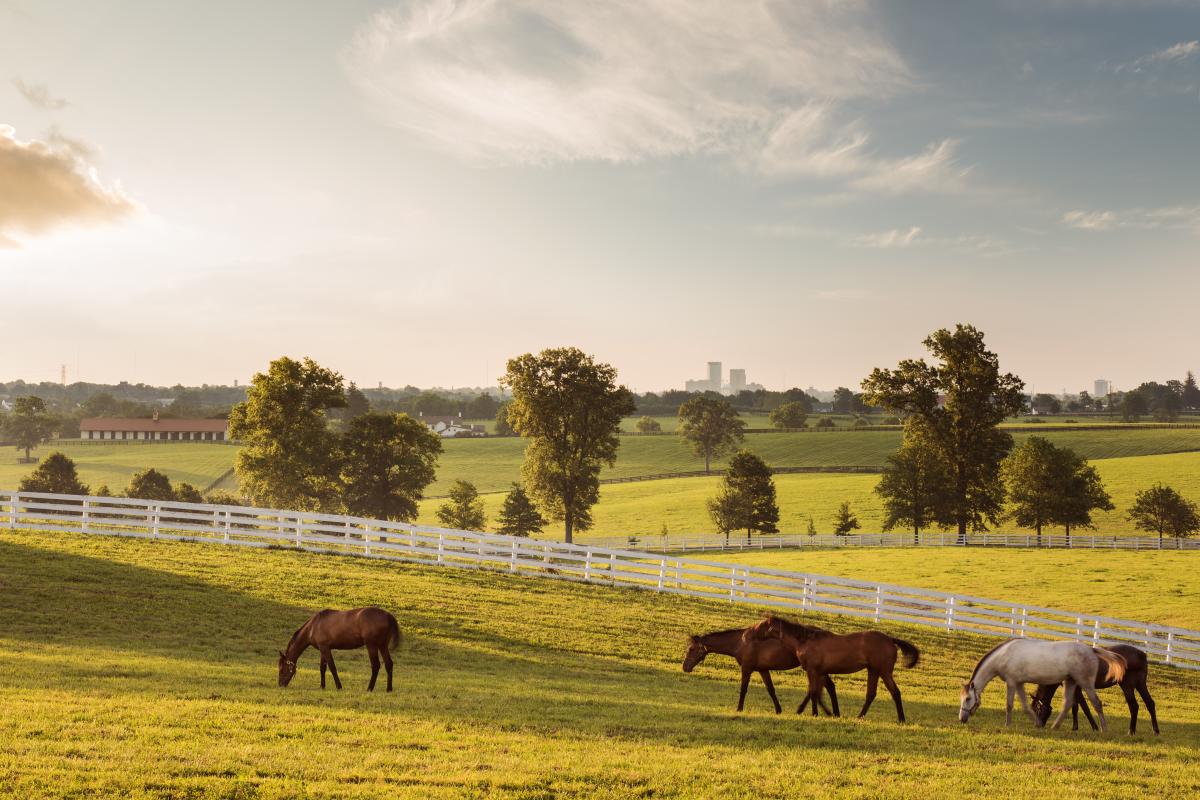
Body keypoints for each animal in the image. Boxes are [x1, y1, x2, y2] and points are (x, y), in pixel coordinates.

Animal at [681, 623, 840, 714]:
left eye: (691, 649)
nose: (684, 667)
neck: (740, 641)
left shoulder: (747, 668)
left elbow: (743, 689)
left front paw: (739, 708)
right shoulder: (763, 670)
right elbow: (771, 690)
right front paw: (778, 710)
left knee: (824, 688)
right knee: (822, 688)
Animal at [744, 618, 921, 724]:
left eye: (761, 625)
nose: (746, 634)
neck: (805, 641)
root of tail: (890, 639)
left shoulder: (812, 671)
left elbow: (813, 693)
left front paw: (814, 713)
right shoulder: (819, 672)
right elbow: (815, 692)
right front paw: (813, 711)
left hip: (883, 671)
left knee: (895, 692)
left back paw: (900, 719)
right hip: (874, 671)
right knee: (872, 694)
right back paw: (862, 716)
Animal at [955, 638, 1123, 734]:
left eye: (968, 698)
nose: (961, 719)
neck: (1004, 655)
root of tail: (1091, 649)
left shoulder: (1011, 682)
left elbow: (1009, 705)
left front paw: (1007, 724)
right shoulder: (1019, 683)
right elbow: (1025, 706)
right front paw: (1037, 722)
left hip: (1085, 684)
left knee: (1097, 704)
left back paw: (1104, 729)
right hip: (1070, 682)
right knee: (1067, 704)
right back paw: (1054, 726)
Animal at [1027, 642, 1156, 738]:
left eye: (1037, 709)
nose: (1037, 726)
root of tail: (1142, 654)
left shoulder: (1078, 688)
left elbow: (1083, 708)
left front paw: (1093, 727)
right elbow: (1076, 707)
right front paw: (1076, 727)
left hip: (1127, 685)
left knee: (1133, 706)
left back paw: (1131, 731)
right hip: (1140, 684)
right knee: (1149, 703)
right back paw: (1155, 731)